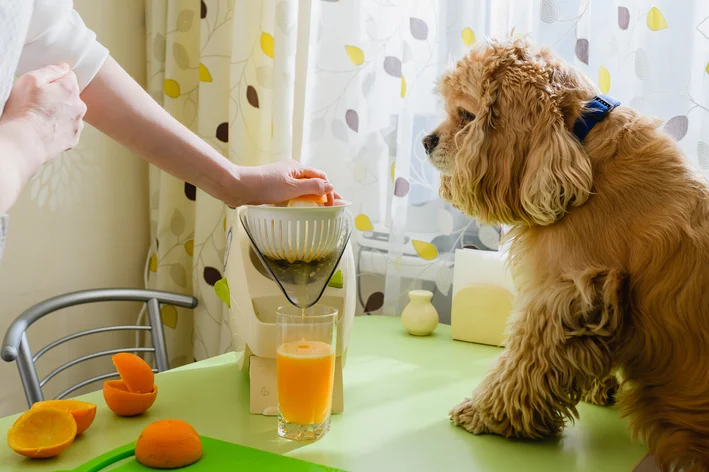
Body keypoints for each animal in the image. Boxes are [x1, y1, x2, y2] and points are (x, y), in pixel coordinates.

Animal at [424, 37, 708, 472]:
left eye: (466, 115)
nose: (426, 141)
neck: (581, 144)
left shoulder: (563, 292)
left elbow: (522, 363)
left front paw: (486, 413)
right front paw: (599, 389)